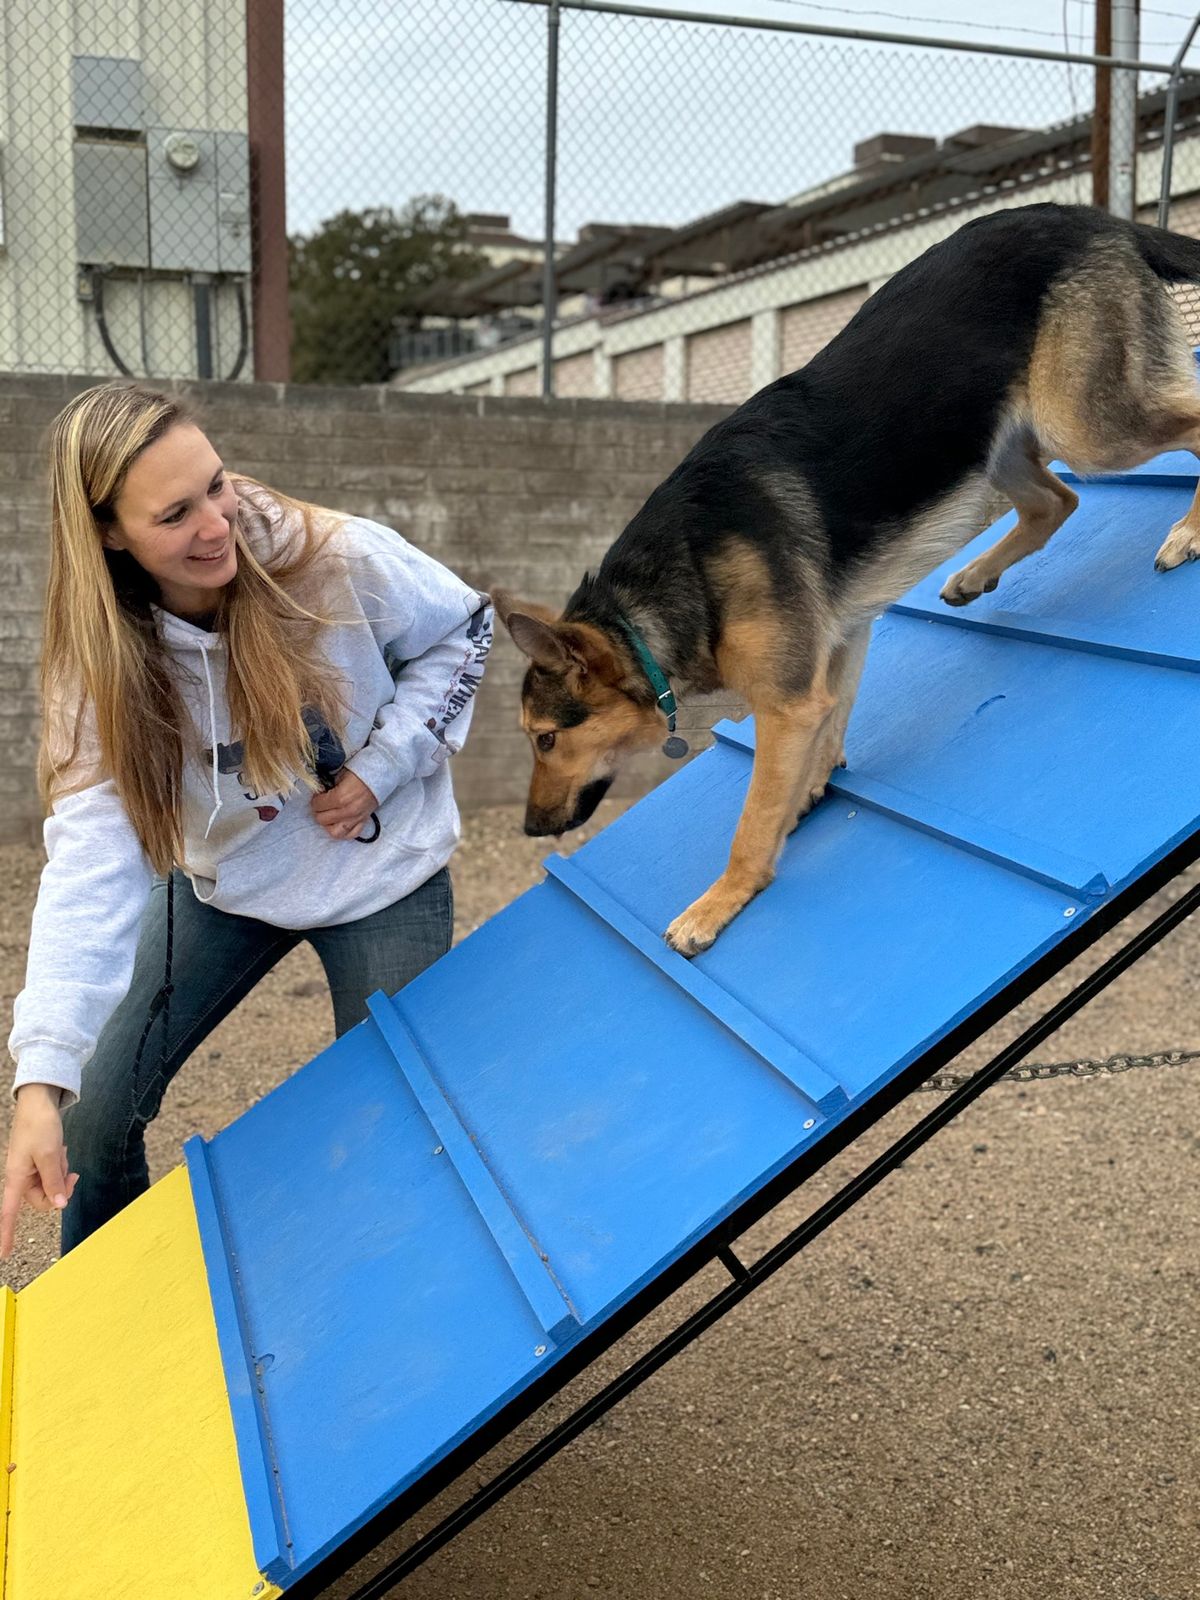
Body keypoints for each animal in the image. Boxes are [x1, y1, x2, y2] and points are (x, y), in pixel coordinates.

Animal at [492, 200, 1200, 947]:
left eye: (545, 738)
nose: (530, 828)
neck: (673, 577)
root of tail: (1087, 214)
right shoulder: (838, 644)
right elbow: (835, 716)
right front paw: (809, 787)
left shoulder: (784, 706)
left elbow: (751, 821)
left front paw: (720, 901)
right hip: (993, 444)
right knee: (1055, 502)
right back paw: (973, 574)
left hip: (1085, 426)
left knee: (1178, 434)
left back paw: (1186, 531)